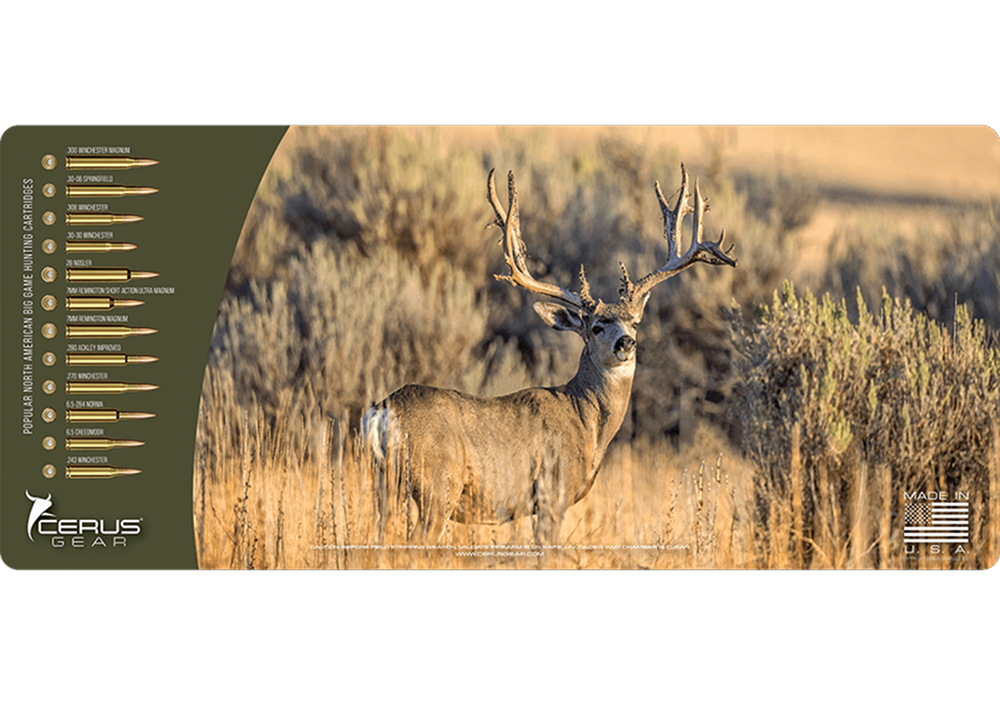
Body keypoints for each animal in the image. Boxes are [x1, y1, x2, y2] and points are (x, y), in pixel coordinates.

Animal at [361, 164, 737, 543]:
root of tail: (383, 412)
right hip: (437, 487)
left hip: (383, 485)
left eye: (634, 322)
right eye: (596, 327)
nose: (626, 343)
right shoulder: (552, 492)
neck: (586, 421)